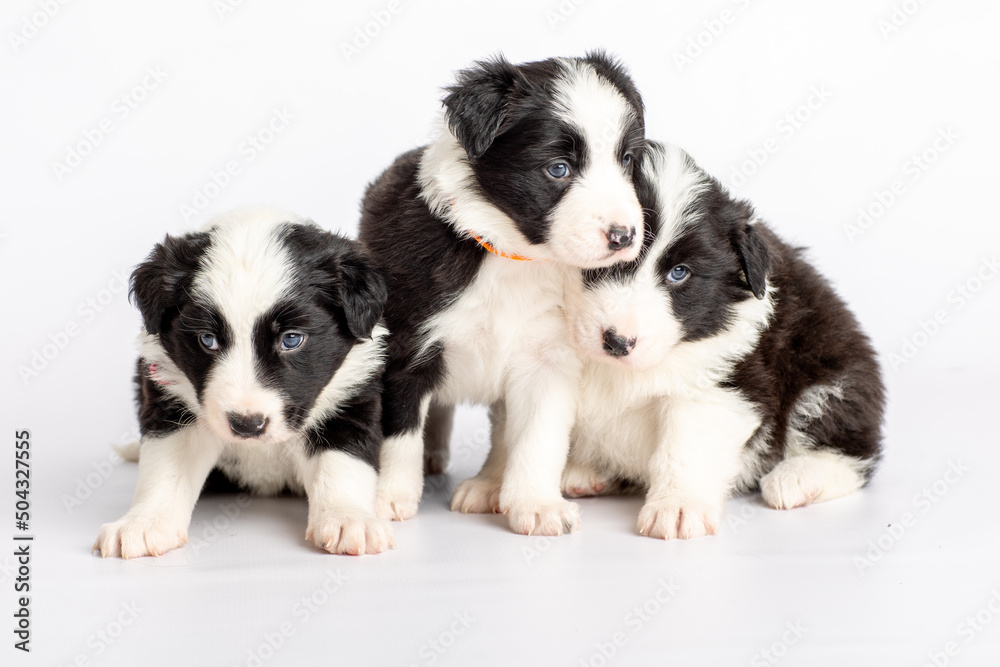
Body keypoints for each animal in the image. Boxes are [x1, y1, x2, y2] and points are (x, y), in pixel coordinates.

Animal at [94, 205, 390, 560]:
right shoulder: (173, 405)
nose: (247, 425)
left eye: (292, 339)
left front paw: (349, 520)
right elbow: (165, 468)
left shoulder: (349, 396)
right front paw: (144, 523)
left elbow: (343, 462)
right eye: (207, 340)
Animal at [360, 53, 648, 536]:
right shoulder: (405, 346)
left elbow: (537, 437)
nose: (624, 236)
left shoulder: (547, 359)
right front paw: (386, 498)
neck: (510, 256)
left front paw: (537, 504)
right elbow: (398, 433)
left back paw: (487, 486)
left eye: (626, 159)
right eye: (558, 168)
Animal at [564, 144, 884, 540]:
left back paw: (798, 477)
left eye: (680, 273)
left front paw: (678, 507)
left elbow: (686, 446)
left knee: (851, 450)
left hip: (833, 371)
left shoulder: (720, 385)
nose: (618, 342)